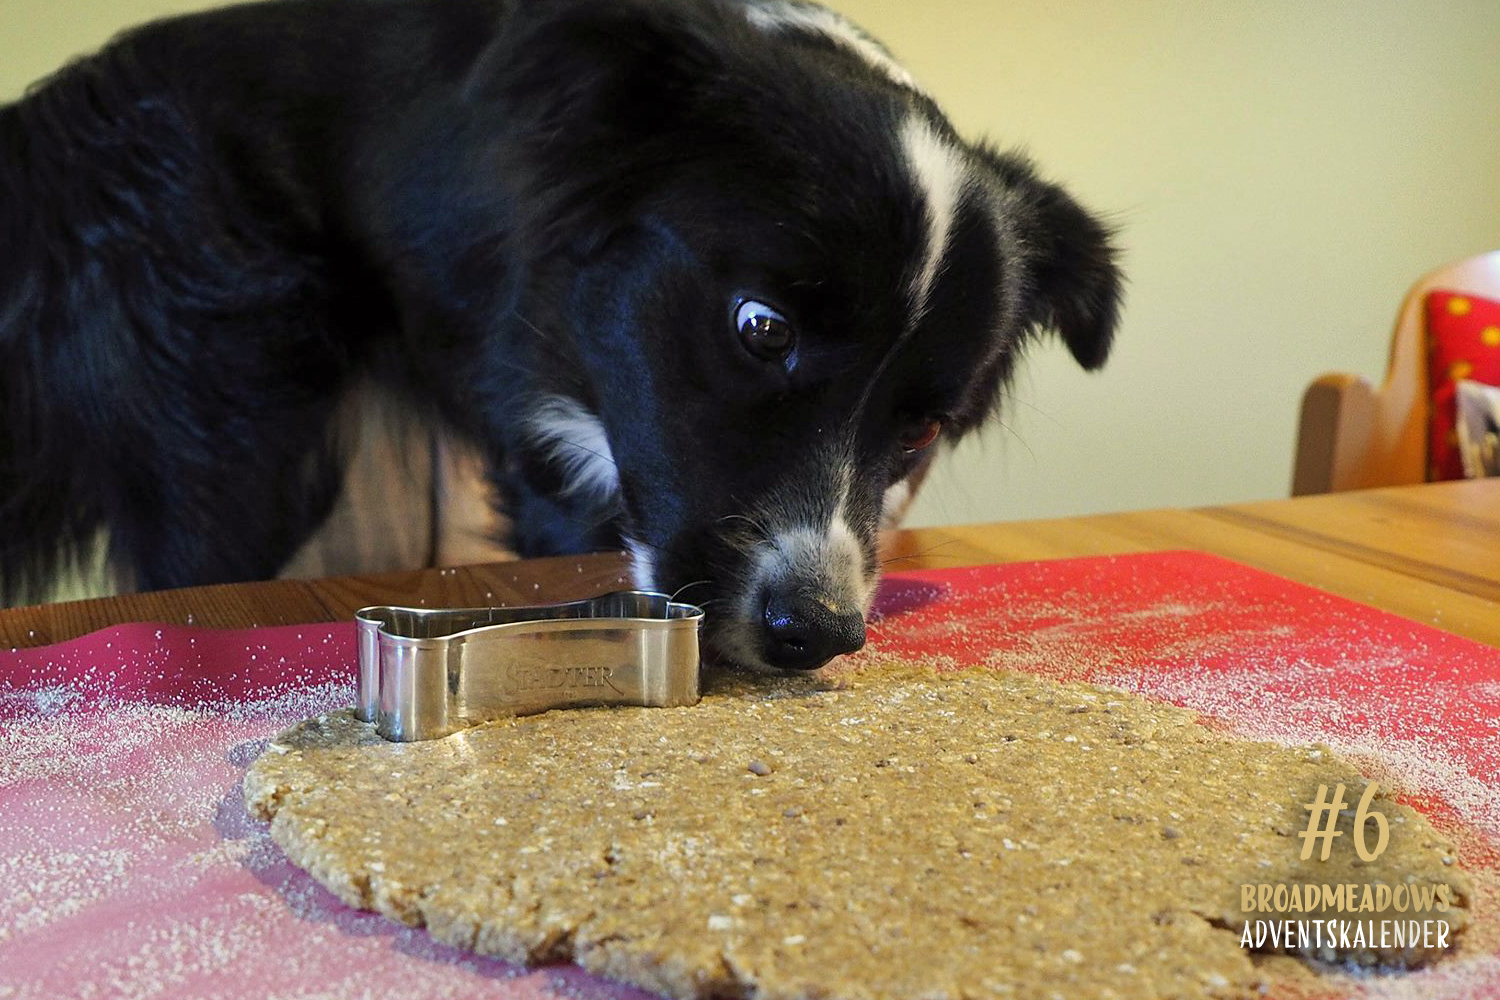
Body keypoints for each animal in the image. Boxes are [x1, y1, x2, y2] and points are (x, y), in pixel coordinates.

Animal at [0, 0, 1122, 671]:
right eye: (763, 328)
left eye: (924, 429)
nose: (815, 635)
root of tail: (42, 132)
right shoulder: (546, 438)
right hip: (240, 420)